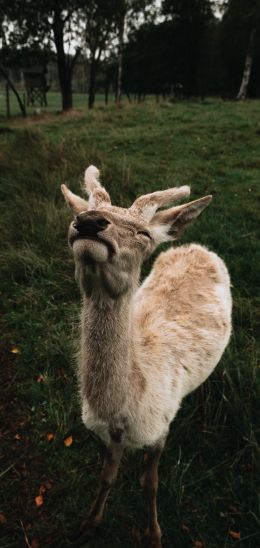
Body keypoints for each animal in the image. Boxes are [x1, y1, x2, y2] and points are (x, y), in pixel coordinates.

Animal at [61, 166, 232, 548]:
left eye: (142, 233)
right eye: (77, 214)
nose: (88, 221)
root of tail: (196, 246)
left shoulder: (161, 428)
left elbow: (150, 484)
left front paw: (154, 534)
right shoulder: (109, 437)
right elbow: (107, 477)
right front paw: (88, 524)